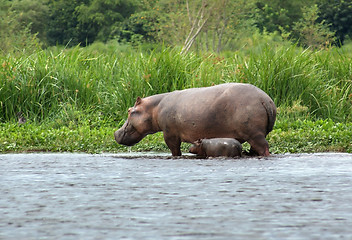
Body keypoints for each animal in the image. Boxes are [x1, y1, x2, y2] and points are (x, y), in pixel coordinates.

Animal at [114, 83, 276, 158]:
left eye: (130, 110)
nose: (116, 133)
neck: (154, 108)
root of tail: (266, 100)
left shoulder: (170, 134)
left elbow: (174, 150)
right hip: (258, 134)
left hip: (254, 134)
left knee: (264, 148)